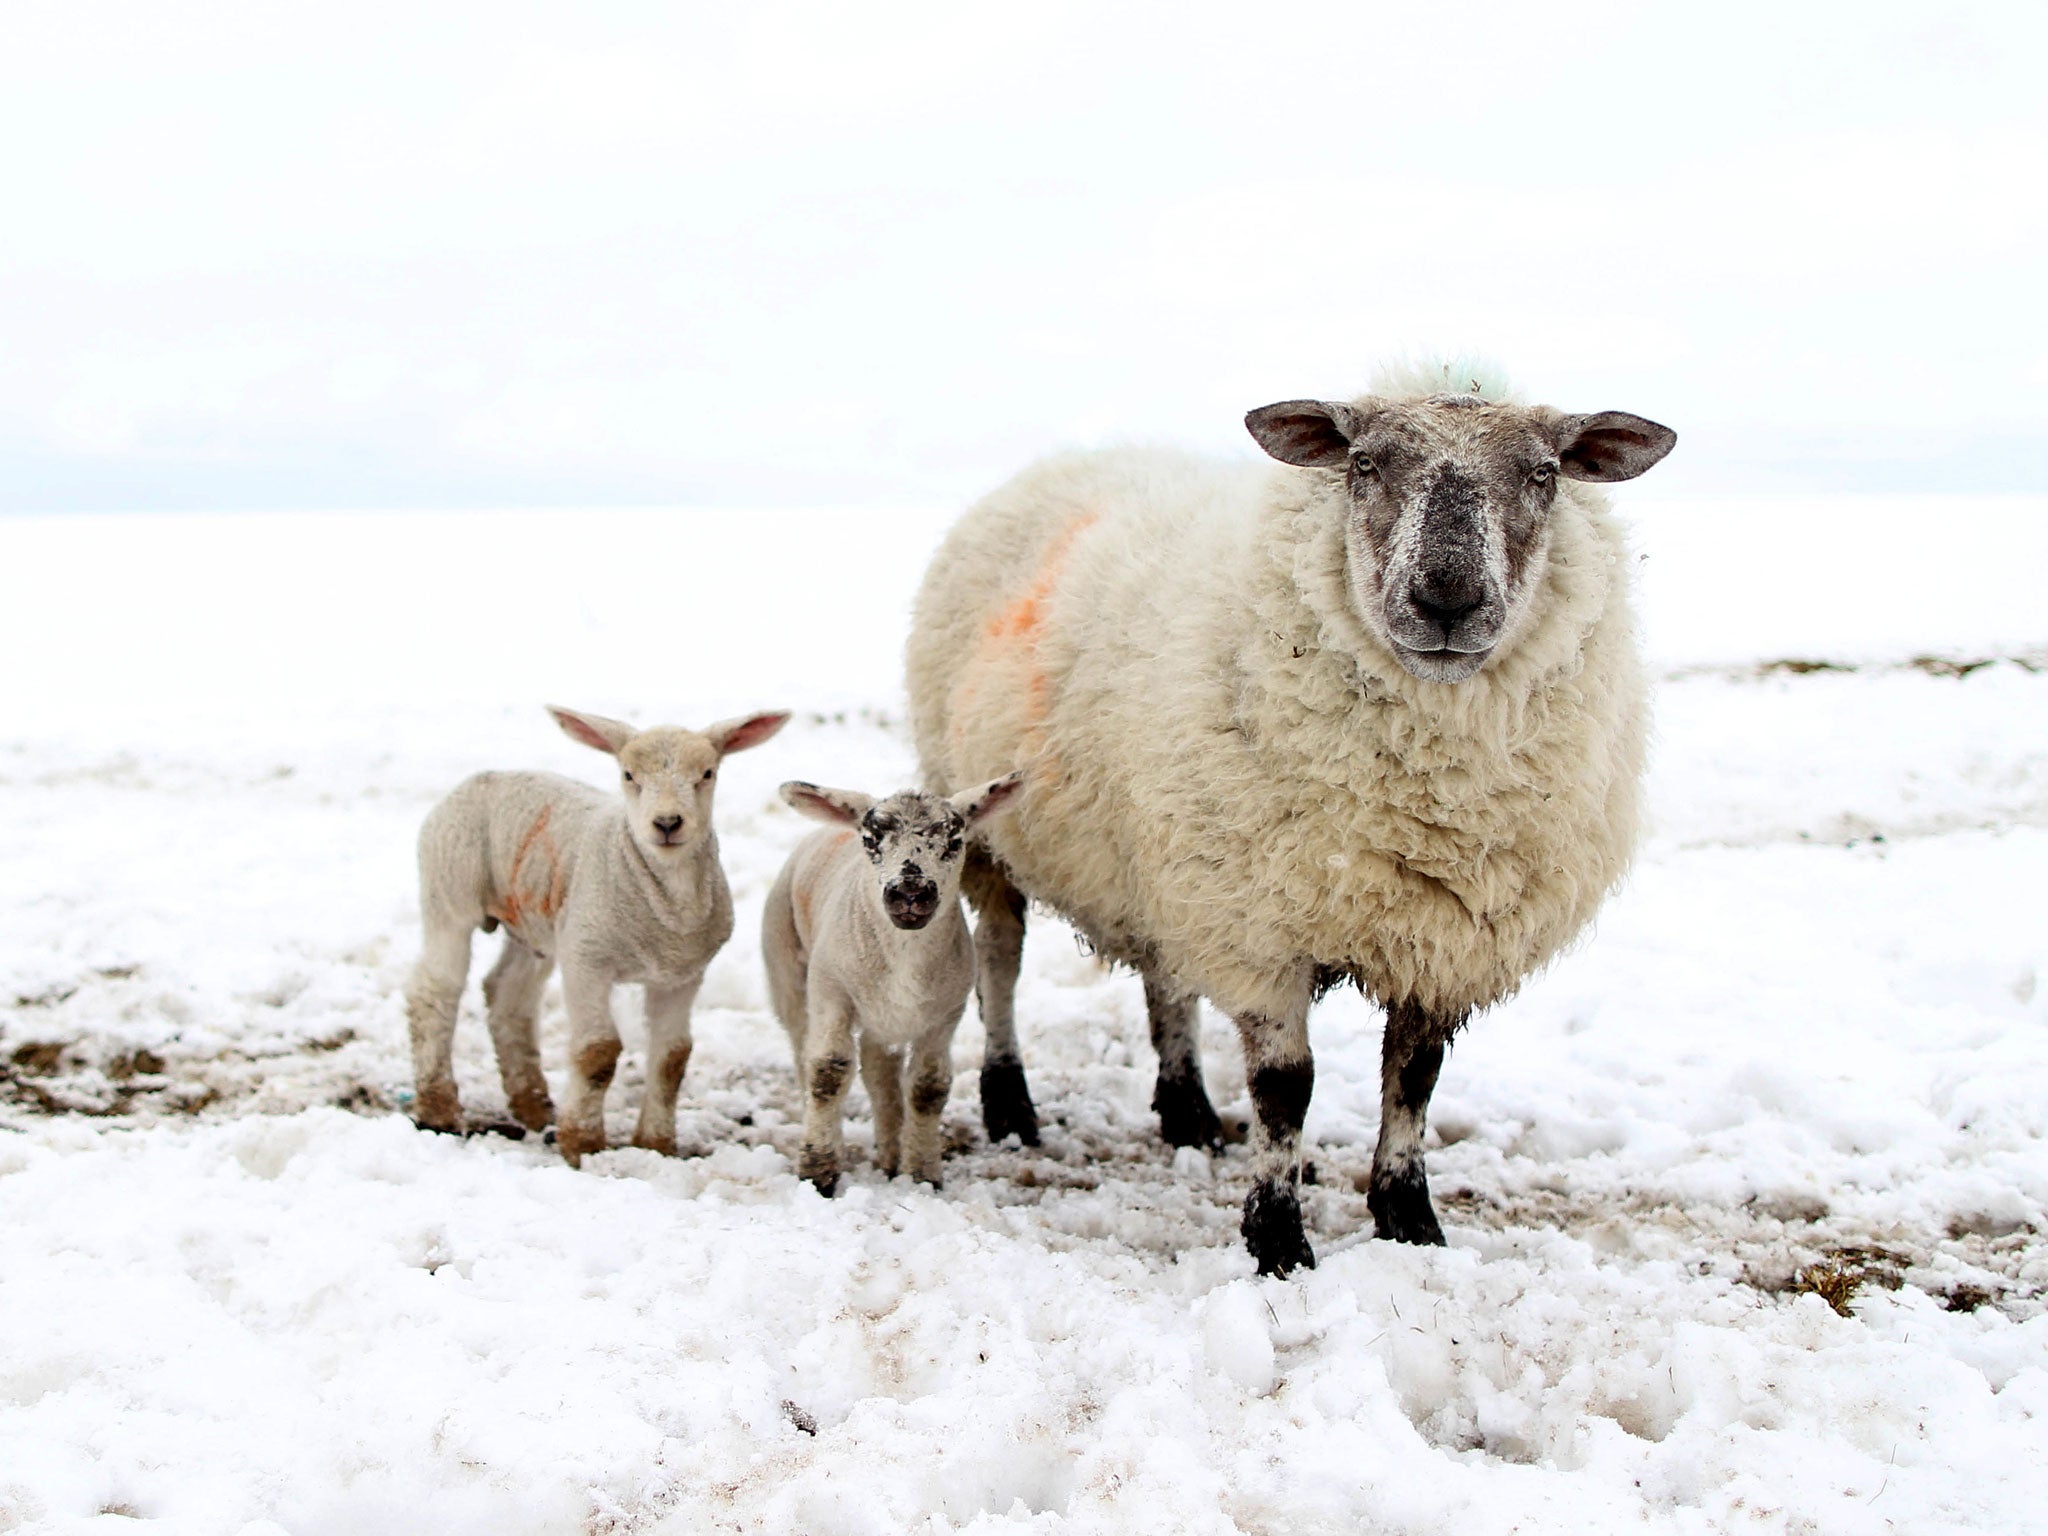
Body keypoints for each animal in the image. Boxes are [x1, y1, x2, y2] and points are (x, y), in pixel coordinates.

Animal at [403, 704, 786, 1163]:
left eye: (707, 773)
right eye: (628, 775)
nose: (667, 823)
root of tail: (484, 776)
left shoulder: (682, 974)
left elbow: (672, 1058)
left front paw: (656, 1145)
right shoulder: (588, 958)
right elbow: (597, 1052)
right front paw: (582, 1143)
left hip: (537, 926)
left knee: (508, 996)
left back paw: (534, 1106)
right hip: (449, 889)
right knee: (433, 992)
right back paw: (438, 1109)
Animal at [761, 774, 1024, 1196]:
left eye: (954, 841)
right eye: (871, 840)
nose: (911, 892)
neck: (904, 958)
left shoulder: (946, 1013)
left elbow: (928, 1087)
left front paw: (922, 1173)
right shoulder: (831, 992)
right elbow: (827, 1073)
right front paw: (817, 1172)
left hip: (882, 1018)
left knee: (878, 1071)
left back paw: (890, 1154)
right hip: (788, 974)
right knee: (806, 1060)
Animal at [913, 360, 1679, 1277]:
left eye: (1544, 474)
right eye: (1363, 465)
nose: (1447, 600)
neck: (1431, 800)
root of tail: (1064, 459)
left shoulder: (1436, 943)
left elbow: (1414, 1079)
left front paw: (1408, 1219)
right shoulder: (1260, 929)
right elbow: (1287, 1089)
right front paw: (1277, 1237)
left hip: (1167, 852)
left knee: (1167, 978)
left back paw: (1189, 1113)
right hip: (991, 834)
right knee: (1000, 965)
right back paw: (1010, 1104)